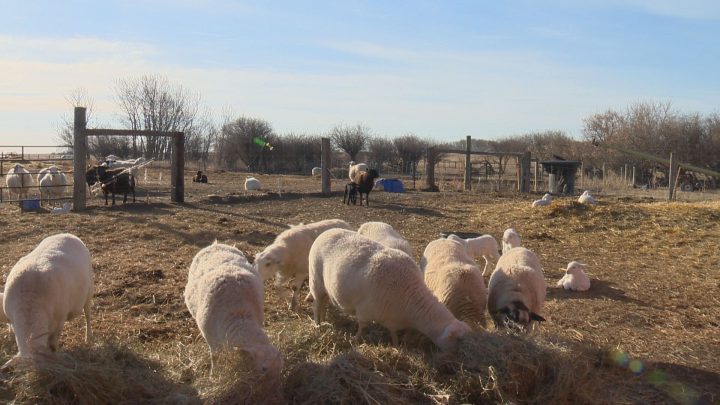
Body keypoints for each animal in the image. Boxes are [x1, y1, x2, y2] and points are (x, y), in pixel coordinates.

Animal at [1, 233, 93, 368]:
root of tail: (67, 234)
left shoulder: (60, 320)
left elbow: (53, 343)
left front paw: (55, 352)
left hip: (89, 291)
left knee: (87, 315)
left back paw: (88, 337)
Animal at [184, 242, 283, 376]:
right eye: (264, 369)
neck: (238, 314)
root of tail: (216, 244)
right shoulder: (211, 341)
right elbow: (214, 357)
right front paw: (214, 373)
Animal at [309, 229, 471, 351]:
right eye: (458, 340)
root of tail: (326, 232)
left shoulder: (393, 319)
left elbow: (394, 334)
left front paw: (396, 346)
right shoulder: (364, 311)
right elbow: (362, 326)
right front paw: (356, 339)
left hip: (326, 288)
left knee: (323, 302)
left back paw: (324, 319)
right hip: (316, 280)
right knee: (316, 304)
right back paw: (317, 324)